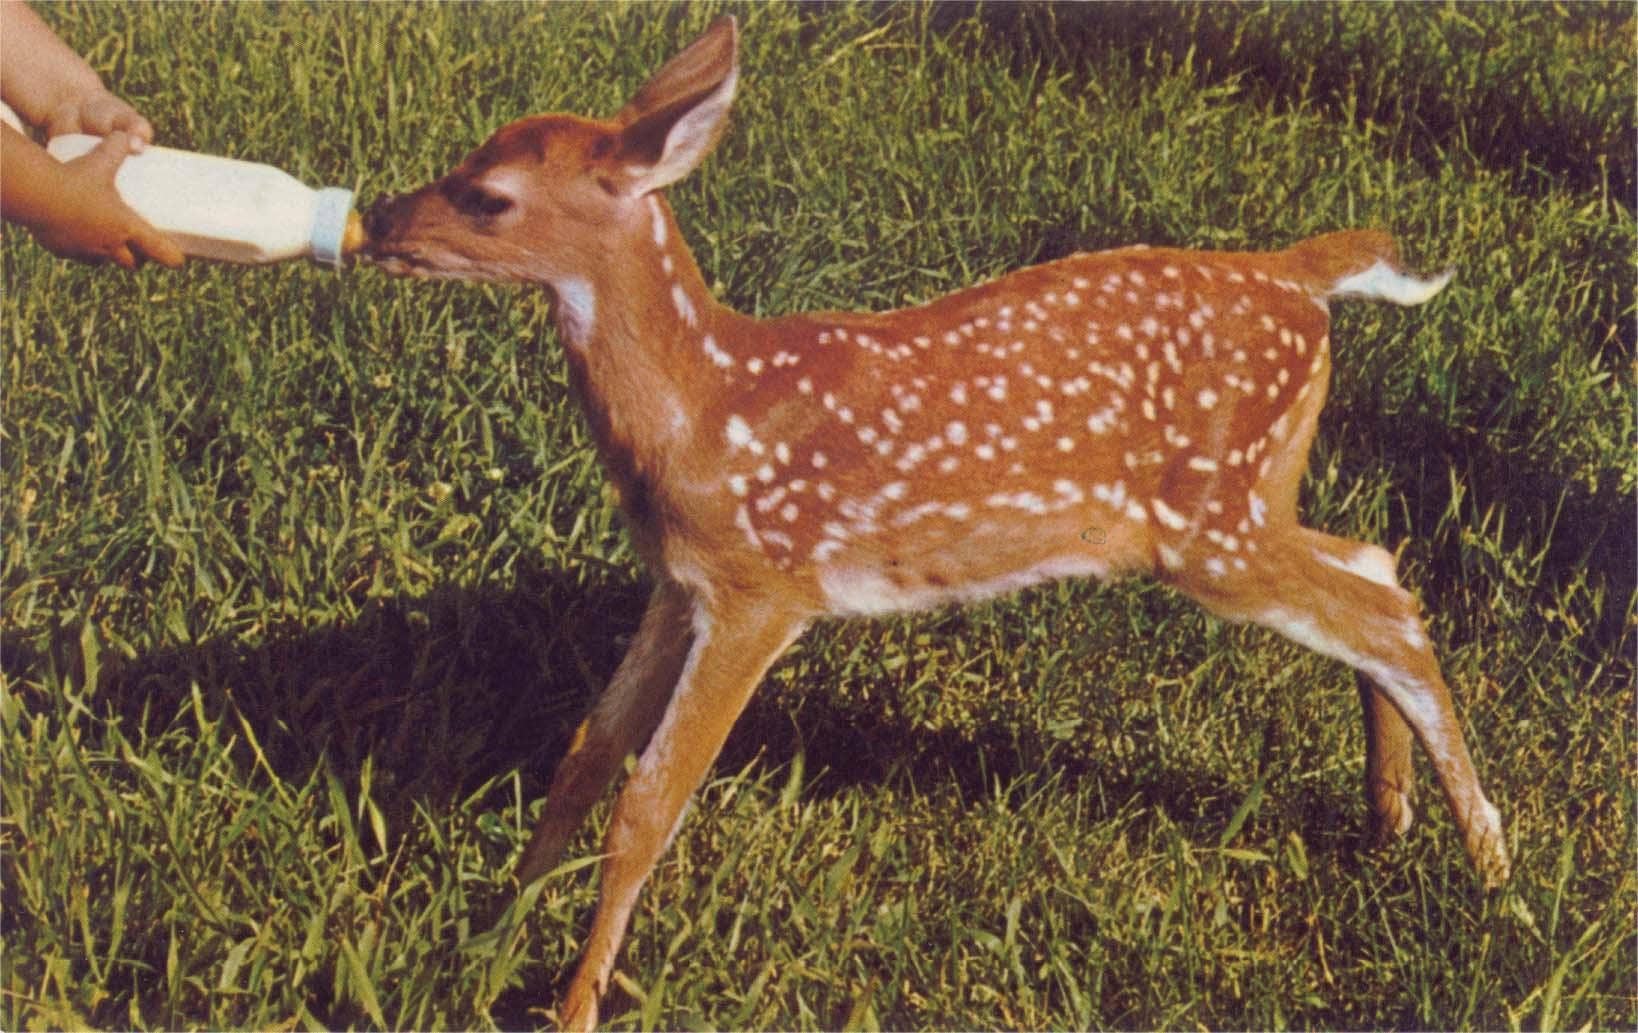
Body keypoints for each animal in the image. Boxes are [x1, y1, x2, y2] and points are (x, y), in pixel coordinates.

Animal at [361, 17, 1510, 1029]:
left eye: (487, 195)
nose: (374, 219)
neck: (705, 408)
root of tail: (1299, 276)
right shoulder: (678, 583)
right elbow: (585, 756)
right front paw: (485, 940)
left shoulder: (764, 585)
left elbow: (648, 803)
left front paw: (571, 1004)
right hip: (1253, 498)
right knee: (1377, 563)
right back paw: (1390, 812)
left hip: (1211, 527)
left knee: (1385, 613)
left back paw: (1492, 863)